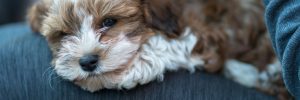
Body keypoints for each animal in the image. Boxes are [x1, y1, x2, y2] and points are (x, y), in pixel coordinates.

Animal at [28, 0, 290, 99]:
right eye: (63, 34)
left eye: (109, 21)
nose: (87, 61)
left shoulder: (206, 35)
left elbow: (166, 45)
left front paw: (131, 69)